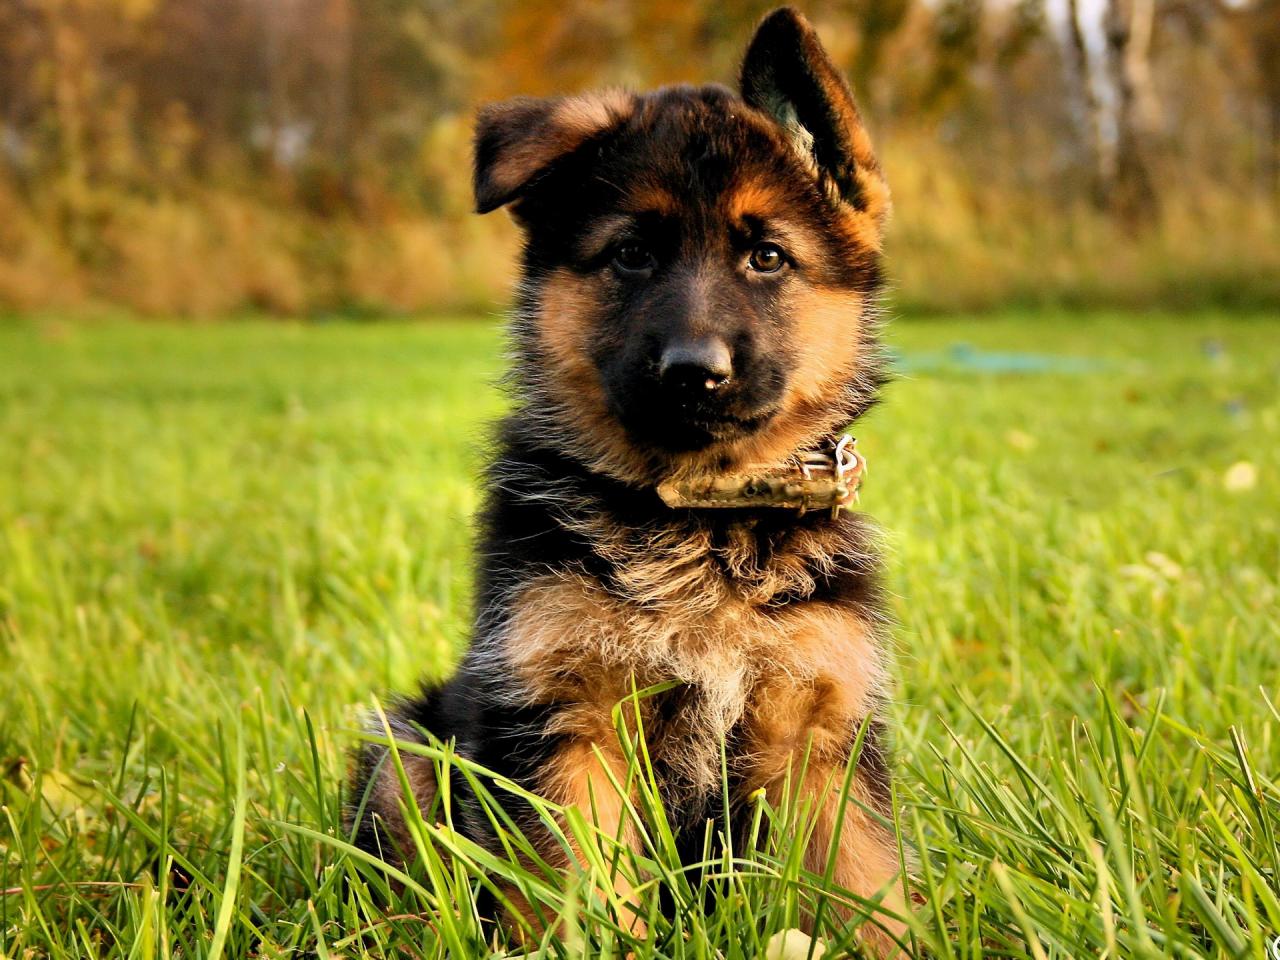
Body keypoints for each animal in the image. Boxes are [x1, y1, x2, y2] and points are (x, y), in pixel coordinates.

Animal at [353, 5, 911, 957]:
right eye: (632, 254)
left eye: (767, 256)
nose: (695, 372)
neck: (701, 519)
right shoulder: (565, 719)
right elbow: (576, 891)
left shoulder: (819, 736)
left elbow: (866, 887)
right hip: (408, 748)